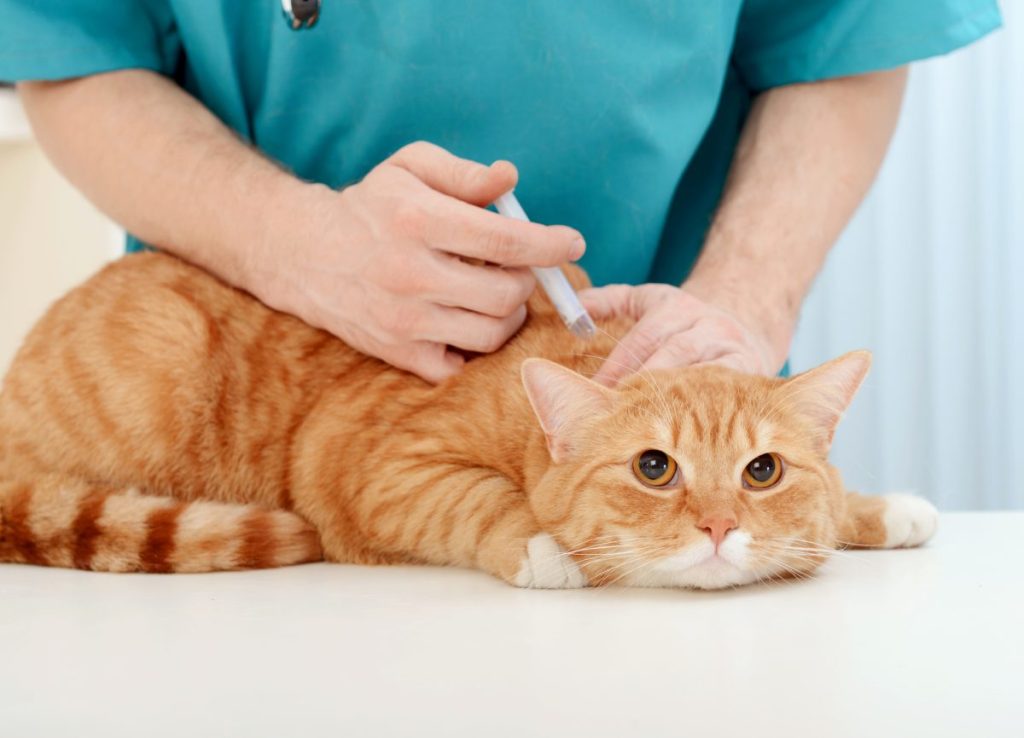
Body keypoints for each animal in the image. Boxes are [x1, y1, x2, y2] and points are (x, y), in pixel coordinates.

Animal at [0, 251, 937, 585]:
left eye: (762, 472)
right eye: (654, 468)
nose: (716, 527)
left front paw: (882, 510)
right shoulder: (373, 466)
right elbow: (482, 501)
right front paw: (543, 545)